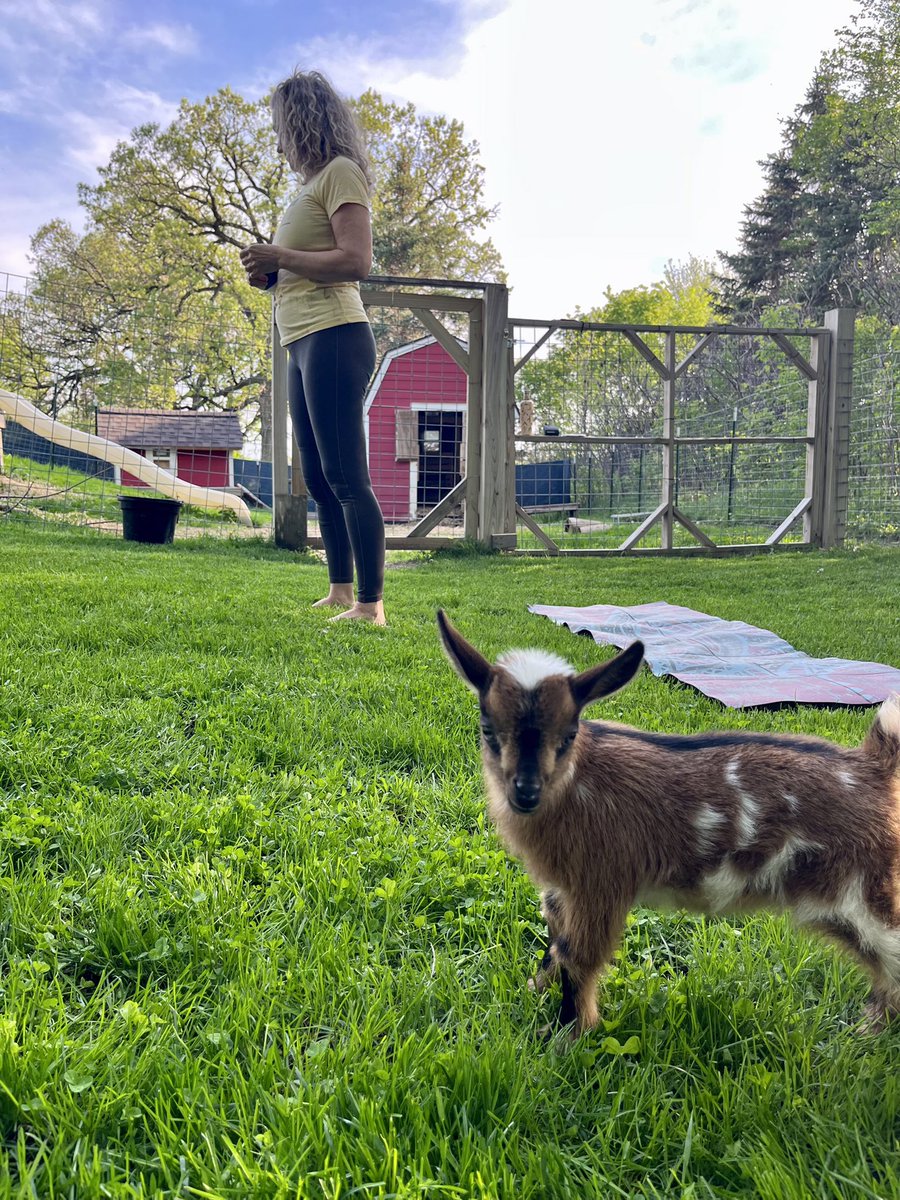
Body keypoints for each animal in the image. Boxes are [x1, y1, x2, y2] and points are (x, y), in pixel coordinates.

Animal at [441, 614, 900, 1036]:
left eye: (569, 734)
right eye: (487, 729)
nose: (525, 794)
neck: (576, 785)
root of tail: (873, 767)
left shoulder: (599, 882)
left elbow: (579, 958)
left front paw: (568, 1037)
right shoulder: (560, 888)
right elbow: (556, 945)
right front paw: (536, 990)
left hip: (862, 891)